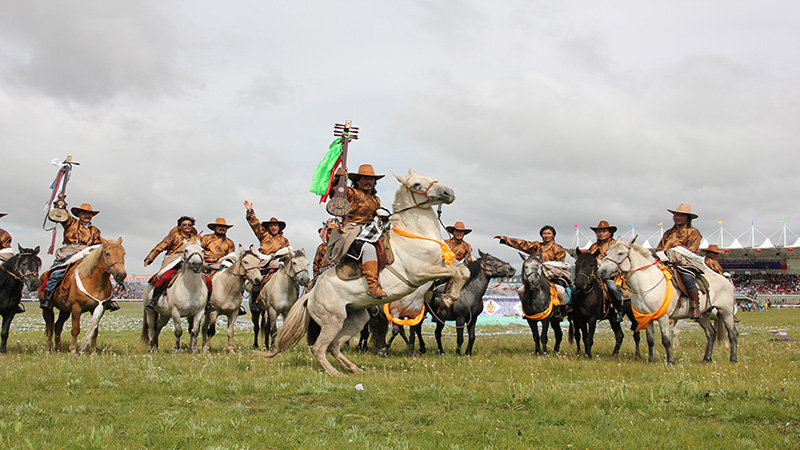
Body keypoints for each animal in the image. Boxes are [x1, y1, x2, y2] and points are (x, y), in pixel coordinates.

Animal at [266, 170, 472, 376]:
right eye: (416, 185)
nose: (448, 192)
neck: (416, 234)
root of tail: (310, 296)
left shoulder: (443, 263)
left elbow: (464, 271)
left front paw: (446, 297)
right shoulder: (421, 272)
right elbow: (457, 273)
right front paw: (447, 299)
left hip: (355, 320)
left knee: (334, 347)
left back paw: (356, 370)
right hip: (333, 321)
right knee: (319, 348)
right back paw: (336, 373)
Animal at [592, 237, 736, 364]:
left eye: (620, 253)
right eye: (607, 253)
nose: (602, 271)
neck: (646, 283)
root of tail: (726, 280)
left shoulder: (663, 317)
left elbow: (666, 340)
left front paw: (670, 361)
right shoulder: (646, 317)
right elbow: (650, 340)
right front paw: (651, 360)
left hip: (726, 312)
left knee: (732, 333)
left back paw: (733, 359)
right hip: (703, 315)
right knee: (711, 334)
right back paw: (706, 359)